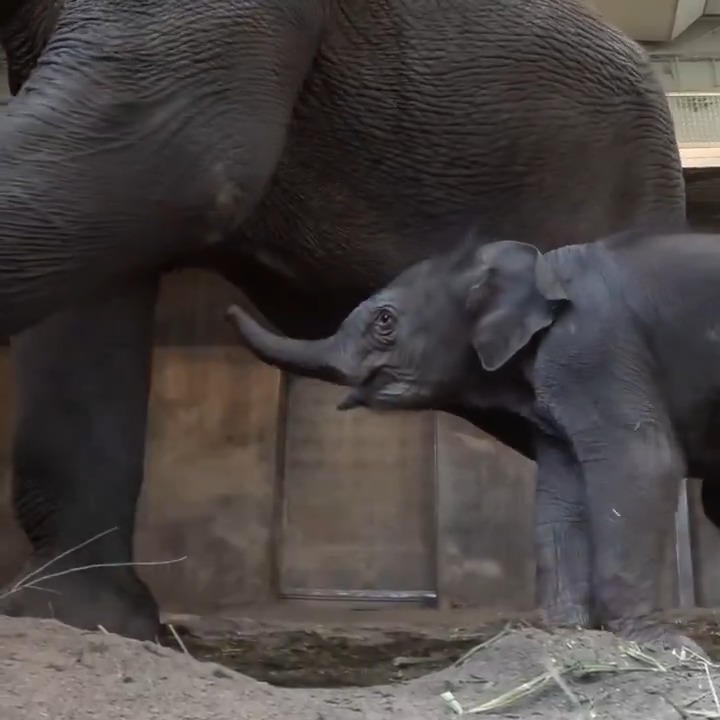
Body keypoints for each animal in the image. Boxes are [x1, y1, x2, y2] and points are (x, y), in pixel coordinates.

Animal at [225, 229, 720, 652]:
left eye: (385, 320)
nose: (227, 310)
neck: (540, 266)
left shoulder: (593, 348)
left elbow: (642, 461)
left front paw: (662, 646)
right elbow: (561, 492)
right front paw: (564, 632)